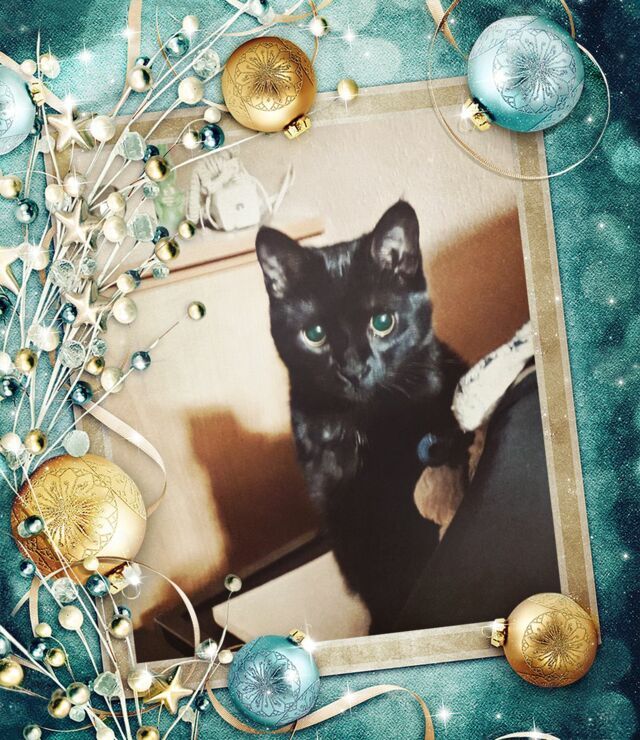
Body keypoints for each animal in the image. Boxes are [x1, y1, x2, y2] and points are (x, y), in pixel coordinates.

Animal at [256, 201, 470, 633]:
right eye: (315, 334)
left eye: (383, 323)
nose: (353, 369)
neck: (359, 424)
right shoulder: (340, 514)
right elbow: (372, 583)